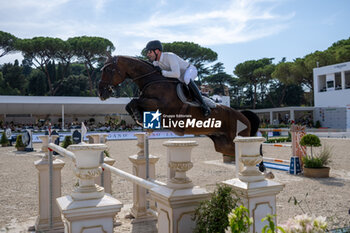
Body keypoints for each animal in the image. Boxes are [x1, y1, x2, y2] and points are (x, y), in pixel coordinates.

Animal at [99, 54, 260, 157]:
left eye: (109, 69)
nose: (101, 92)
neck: (152, 81)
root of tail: (243, 116)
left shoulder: (162, 105)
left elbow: (134, 102)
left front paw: (140, 118)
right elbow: (130, 104)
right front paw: (140, 119)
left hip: (237, 139)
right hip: (223, 146)